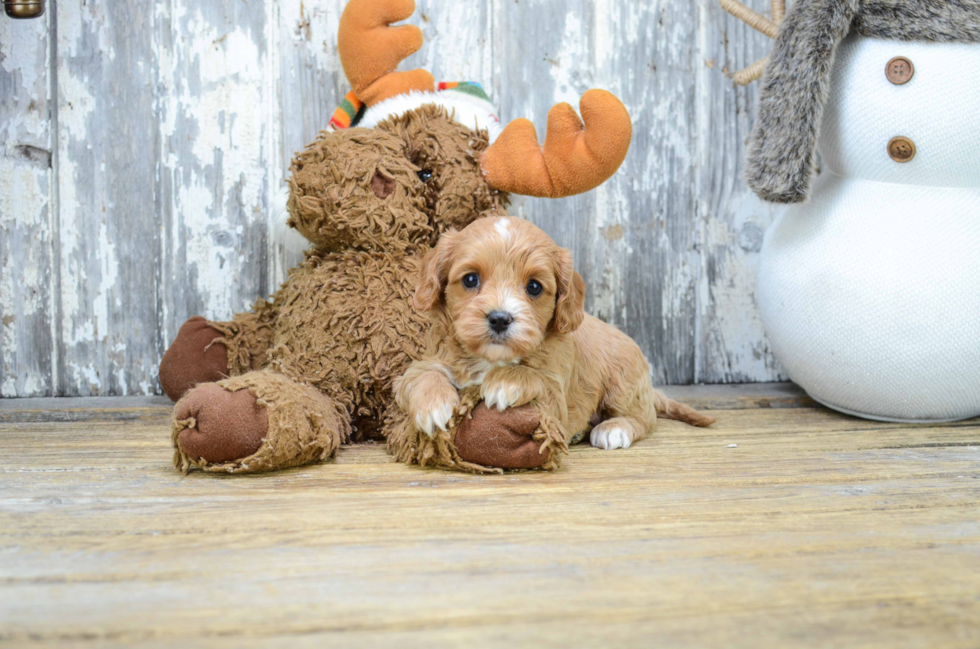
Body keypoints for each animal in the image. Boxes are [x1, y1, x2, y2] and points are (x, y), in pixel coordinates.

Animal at [394, 215, 716, 454]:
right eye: (470, 279)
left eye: (534, 287)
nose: (500, 319)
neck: (490, 359)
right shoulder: (431, 360)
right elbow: (419, 375)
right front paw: (433, 406)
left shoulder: (555, 396)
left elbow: (532, 376)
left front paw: (504, 382)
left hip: (623, 383)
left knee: (645, 419)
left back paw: (614, 429)